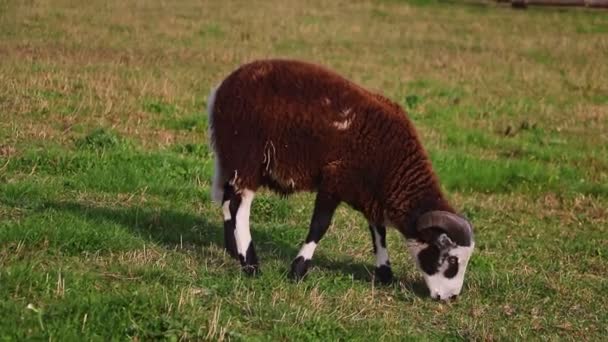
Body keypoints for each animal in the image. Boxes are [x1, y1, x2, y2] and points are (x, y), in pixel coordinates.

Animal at [209, 60, 476, 300]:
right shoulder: (334, 181)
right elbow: (320, 225)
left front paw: (385, 274)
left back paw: (232, 251)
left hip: (233, 159)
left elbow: (378, 232)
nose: (451, 297)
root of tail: (222, 89)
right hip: (247, 157)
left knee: (227, 200)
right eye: (452, 259)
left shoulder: (370, 193)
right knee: (238, 207)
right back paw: (251, 265)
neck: (392, 165)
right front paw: (298, 270)